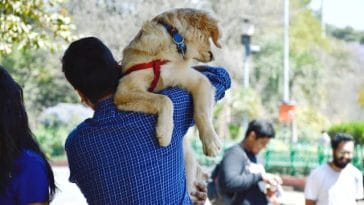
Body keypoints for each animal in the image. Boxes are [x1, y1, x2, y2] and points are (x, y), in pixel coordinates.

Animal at [114, 8, 222, 196]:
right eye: (208, 38)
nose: (212, 56)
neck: (172, 42)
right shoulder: (125, 90)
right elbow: (165, 99)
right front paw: (165, 132)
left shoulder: (197, 80)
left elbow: (202, 112)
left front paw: (211, 142)